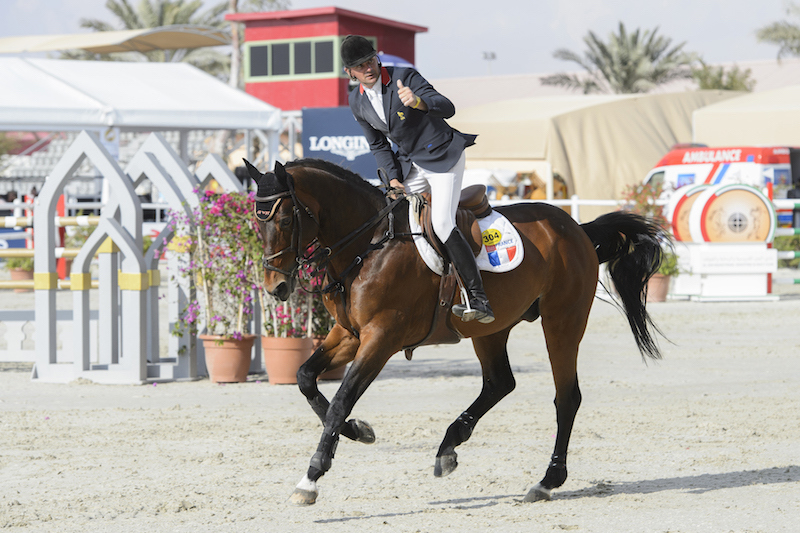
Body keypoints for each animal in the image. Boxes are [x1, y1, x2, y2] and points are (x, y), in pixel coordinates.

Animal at [245, 157, 668, 502]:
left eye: (285, 220)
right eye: (255, 222)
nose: (275, 287)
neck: (369, 244)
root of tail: (576, 228)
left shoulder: (380, 339)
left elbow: (339, 401)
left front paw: (311, 477)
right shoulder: (350, 334)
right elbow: (306, 378)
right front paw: (358, 431)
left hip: (562, 322)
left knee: (566, 397)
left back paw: (547, 481)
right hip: (492, 329)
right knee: (500, 383)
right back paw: (448, 448)